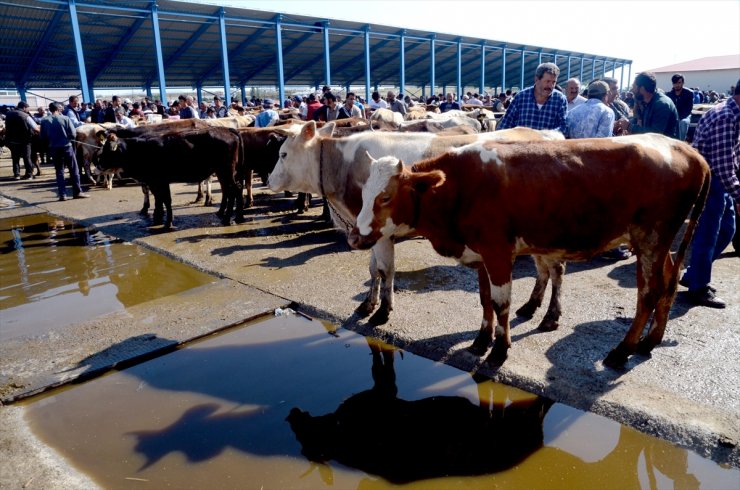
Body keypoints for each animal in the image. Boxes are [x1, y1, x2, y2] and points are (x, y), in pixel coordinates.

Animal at [95, 125, 244, 227]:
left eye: (108, 149)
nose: (97, 162)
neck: (139, 149)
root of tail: (227, 129)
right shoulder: (155, 182)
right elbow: (159, 199)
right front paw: (158, 218)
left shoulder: (159, 180)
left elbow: (165, 199)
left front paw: (167, 222)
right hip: (222, 172)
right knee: (229, 190)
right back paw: (230, 215)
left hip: (225, 170)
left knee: (234, 190)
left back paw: (228, 219)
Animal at [268, 120, 564, 328]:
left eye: (283, 154)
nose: (269, 181)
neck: (346, 165)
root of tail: (544, 135)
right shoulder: (365, 231)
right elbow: (373, 269)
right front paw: (368, 304)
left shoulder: (381, 233)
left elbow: (385, 270)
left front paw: (383, 312)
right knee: (544, 269)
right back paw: (531, 306)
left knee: (556, 270)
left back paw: (550, 316)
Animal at [350, 134, 712, 368]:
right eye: (363, 193)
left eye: (385, 197)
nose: (354, 237)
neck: (460, 186)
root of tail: (687, 149)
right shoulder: (481, 254)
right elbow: (485, 300)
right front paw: (481, 340)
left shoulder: (497, 251)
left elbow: (501, 304)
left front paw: (499, 350)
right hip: (659, 244)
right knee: (668, 283)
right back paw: (650, 341)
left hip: (651, 239)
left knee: (648, 294)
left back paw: (622, 350)